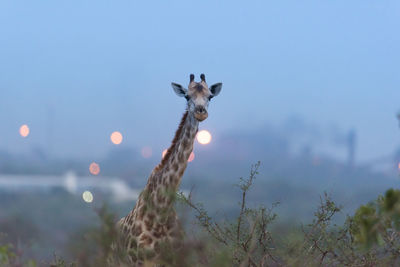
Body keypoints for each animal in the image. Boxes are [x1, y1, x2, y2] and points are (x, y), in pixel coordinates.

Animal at [113, 74, 222, 267]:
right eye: (187, 96)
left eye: (210, 96)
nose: (200, 112)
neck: (161, 208)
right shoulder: (139, 261)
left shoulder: (176, 259)